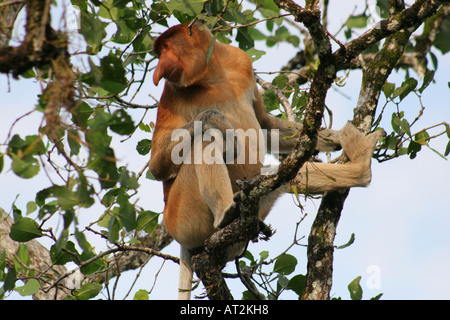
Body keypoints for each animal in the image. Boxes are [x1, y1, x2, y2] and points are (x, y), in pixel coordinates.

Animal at [149, 23, 382, 300]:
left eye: (166, 48)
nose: (159, 69)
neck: (209, 76)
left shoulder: (241, 61)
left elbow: (265, 124)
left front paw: (335, 138)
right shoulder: (171, 94)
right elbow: (157, 165)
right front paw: (216, 119)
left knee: (284, 177)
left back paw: (360, 169)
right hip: (183, 218)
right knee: (204, 140)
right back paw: (226, 213)